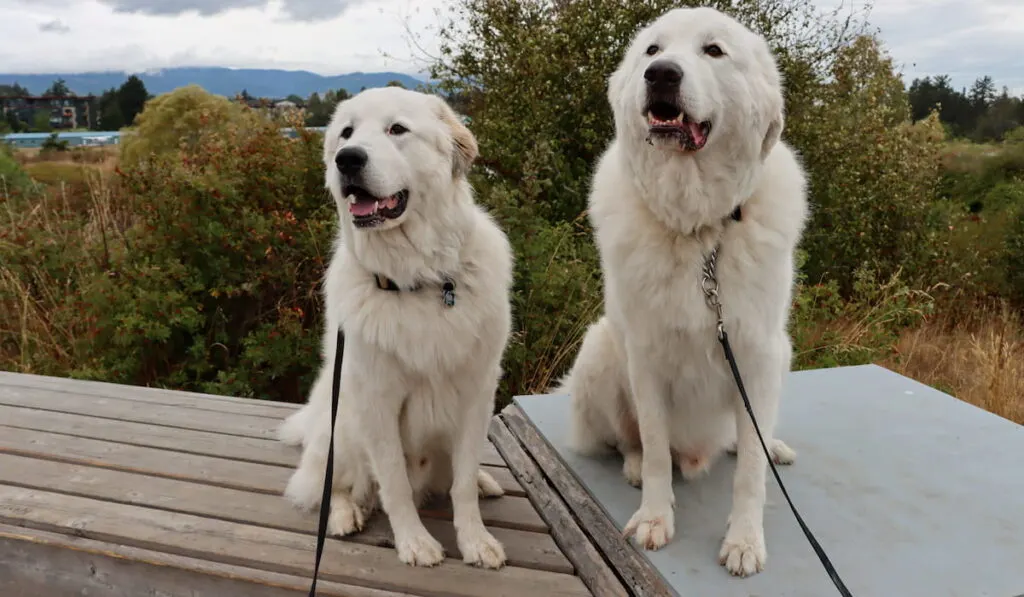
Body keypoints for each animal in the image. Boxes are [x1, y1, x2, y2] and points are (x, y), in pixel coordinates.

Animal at [278, 87, 512, 569]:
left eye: (397, 129)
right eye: (346, 133)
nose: (347, 159)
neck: (418, 279)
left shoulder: (477, 392)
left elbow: (462, 482)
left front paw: (475, 539)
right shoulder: (377, 400)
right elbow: (394, 483)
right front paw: (414, 542)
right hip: (340, 423)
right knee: (327, 486)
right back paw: (342, 515)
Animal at [561, 7, 806, 577]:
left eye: (713, 50)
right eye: (652, 50)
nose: (661, 76)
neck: (699, 229)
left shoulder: (759, 354)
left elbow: (751, 474)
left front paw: (744, 539)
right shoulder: (647, 357)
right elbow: (654, 447)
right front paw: (655, 517)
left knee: (748, 437)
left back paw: (768, 445)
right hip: (601, 351)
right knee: (627, 442)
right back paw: (631, 467)